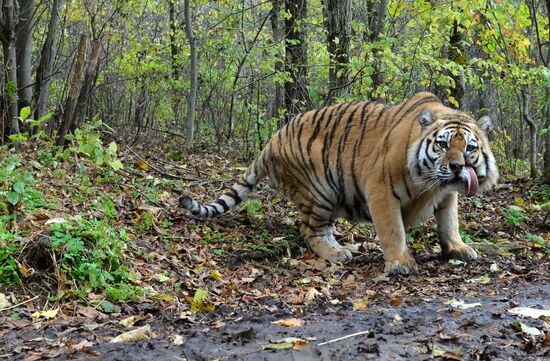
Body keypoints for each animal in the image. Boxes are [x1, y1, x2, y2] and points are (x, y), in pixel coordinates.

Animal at [181, 91, 500, 274]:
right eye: (443, 145)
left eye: (469, 147)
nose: (457, 167)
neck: (432, 184)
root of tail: (271, 140)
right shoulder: (381, 189)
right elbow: (393, 230)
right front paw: (400, 263)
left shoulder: (447, 195)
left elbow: (449, 222)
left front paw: (458, 249)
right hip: (321, 191)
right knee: (309, 230)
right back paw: (336, 254)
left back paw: (345, 249)